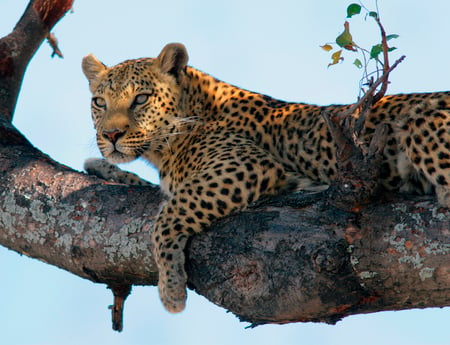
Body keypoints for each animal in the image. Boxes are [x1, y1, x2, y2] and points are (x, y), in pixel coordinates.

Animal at [81, 42, 450, 312]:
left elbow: (167, 217)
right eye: (99, 102)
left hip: (418, 120)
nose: (111, 135)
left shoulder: (245, 165)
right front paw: (99, 165)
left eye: (141, 99)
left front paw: (171, 289)